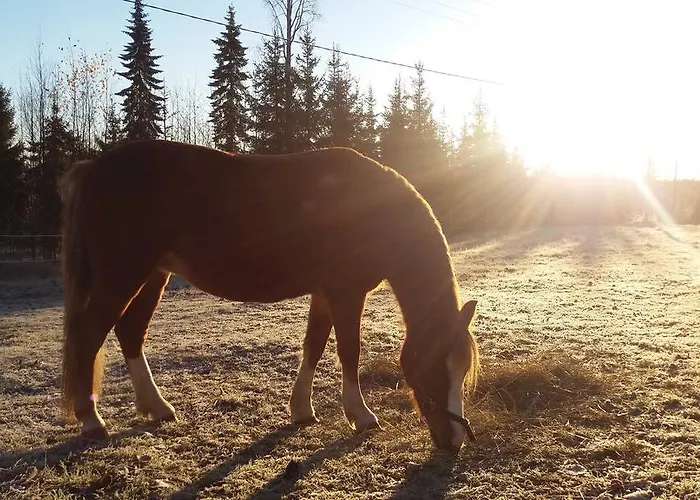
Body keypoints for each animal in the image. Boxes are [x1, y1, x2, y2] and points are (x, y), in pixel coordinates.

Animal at [59, 140, 480, 453]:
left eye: (463, 370)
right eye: (434, 366)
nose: (455, 442)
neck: (371, 208)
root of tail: (93, 168)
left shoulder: (324, 293)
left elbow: (314, 345)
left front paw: (302, 410)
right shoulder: (345, 292)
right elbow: (349, 351)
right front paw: (361, 416)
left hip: (152, 277)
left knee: (130, 333)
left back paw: (158, 408)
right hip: (124, 276)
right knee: (91, 335)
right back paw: (92, 421)